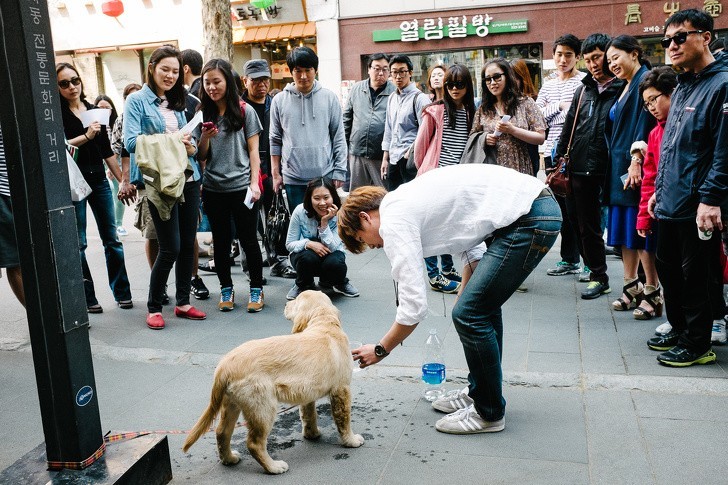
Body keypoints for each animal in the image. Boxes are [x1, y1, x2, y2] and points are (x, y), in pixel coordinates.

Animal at [182, 290, 364, 474]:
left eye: (295, 302)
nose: (285, 304)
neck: (325, 324)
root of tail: (224, 366)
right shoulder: (341, 389)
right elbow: (344, 418)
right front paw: (351, 440)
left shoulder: (308, 392)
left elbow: (309, 415)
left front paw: (312, 434)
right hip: (263, 406)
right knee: (254, 443)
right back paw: (274, 467)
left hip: (232, 402)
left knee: (222, 432)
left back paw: (229, 459)